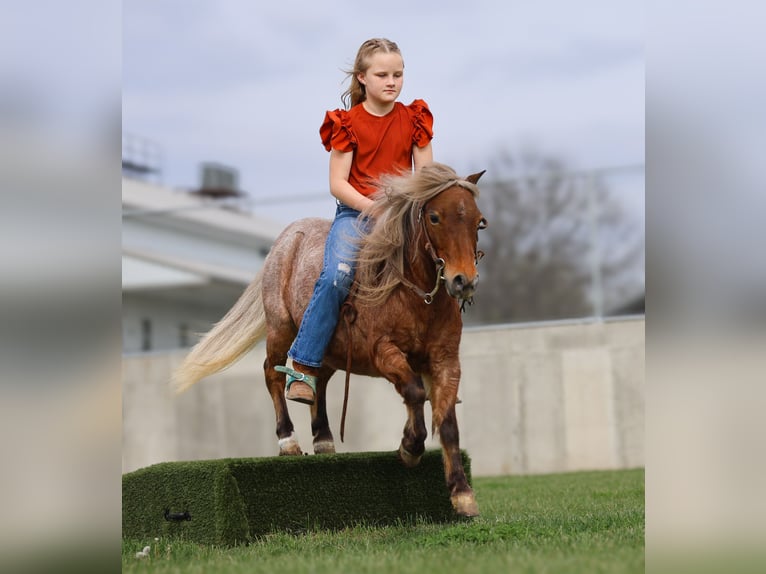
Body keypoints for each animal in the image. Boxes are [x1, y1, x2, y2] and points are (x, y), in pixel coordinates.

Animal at [173, 162, 487, 517]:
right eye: (434, 217)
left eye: (479, 221)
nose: (463, 281)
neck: (413, 294)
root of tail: (285, 239)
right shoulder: (383, 352)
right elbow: (415, 393)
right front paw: (410, 447)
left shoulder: (446, 360)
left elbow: (447, 422)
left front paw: (462, 494)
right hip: (280, 328)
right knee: (272, 372)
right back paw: (289, 441)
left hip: (331, 350)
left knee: (317, 380)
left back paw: (323, 439)